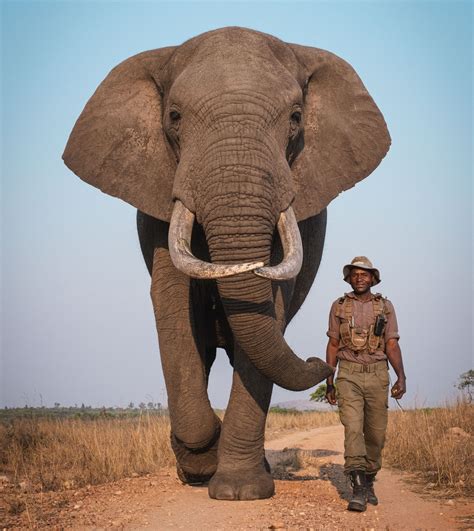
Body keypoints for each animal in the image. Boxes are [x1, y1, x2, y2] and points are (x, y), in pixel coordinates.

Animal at [63, 27, 388, 500]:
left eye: (296, 118)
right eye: (175, 116)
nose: (321, 361)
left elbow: (269, 305)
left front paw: (240, 491)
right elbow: (172, 303)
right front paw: (201, 464)